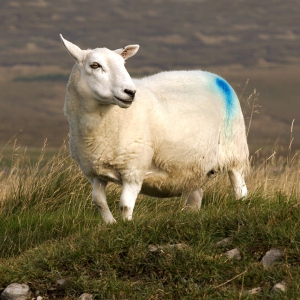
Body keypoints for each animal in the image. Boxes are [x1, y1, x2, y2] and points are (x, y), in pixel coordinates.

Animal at [59, 34, 248, 223]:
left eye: (123, 64)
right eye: (95, 65)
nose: (130, 92)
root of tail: (216, 77)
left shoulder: (134, 169)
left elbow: (125, 205)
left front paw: (127, 225)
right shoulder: (95, 172)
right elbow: (99, 202)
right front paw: (110, 224)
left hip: (235, 151)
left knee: (240, 187)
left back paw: (241, 204)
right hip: (195, 166)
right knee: (195, 196)